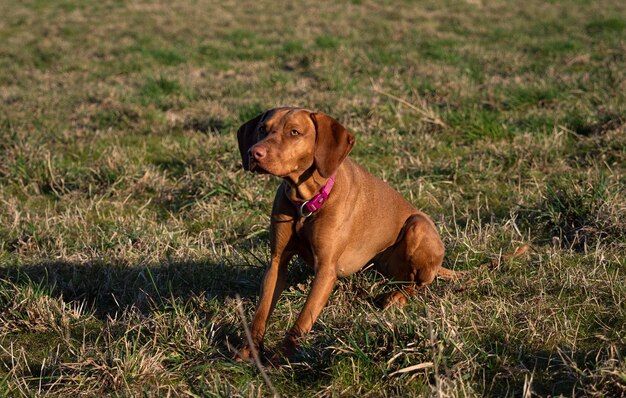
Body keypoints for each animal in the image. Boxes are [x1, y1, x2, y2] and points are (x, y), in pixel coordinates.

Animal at [234, 107, 458, 362]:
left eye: (294, 132)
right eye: (263, 129)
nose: (254, 152)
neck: (307, 202)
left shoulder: (326, 269)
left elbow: (303, 318)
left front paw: (283, 355)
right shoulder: (277, 261)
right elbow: (262, 311)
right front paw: (249, 350)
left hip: (417, 225)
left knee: (420, 282)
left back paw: (398, 296)